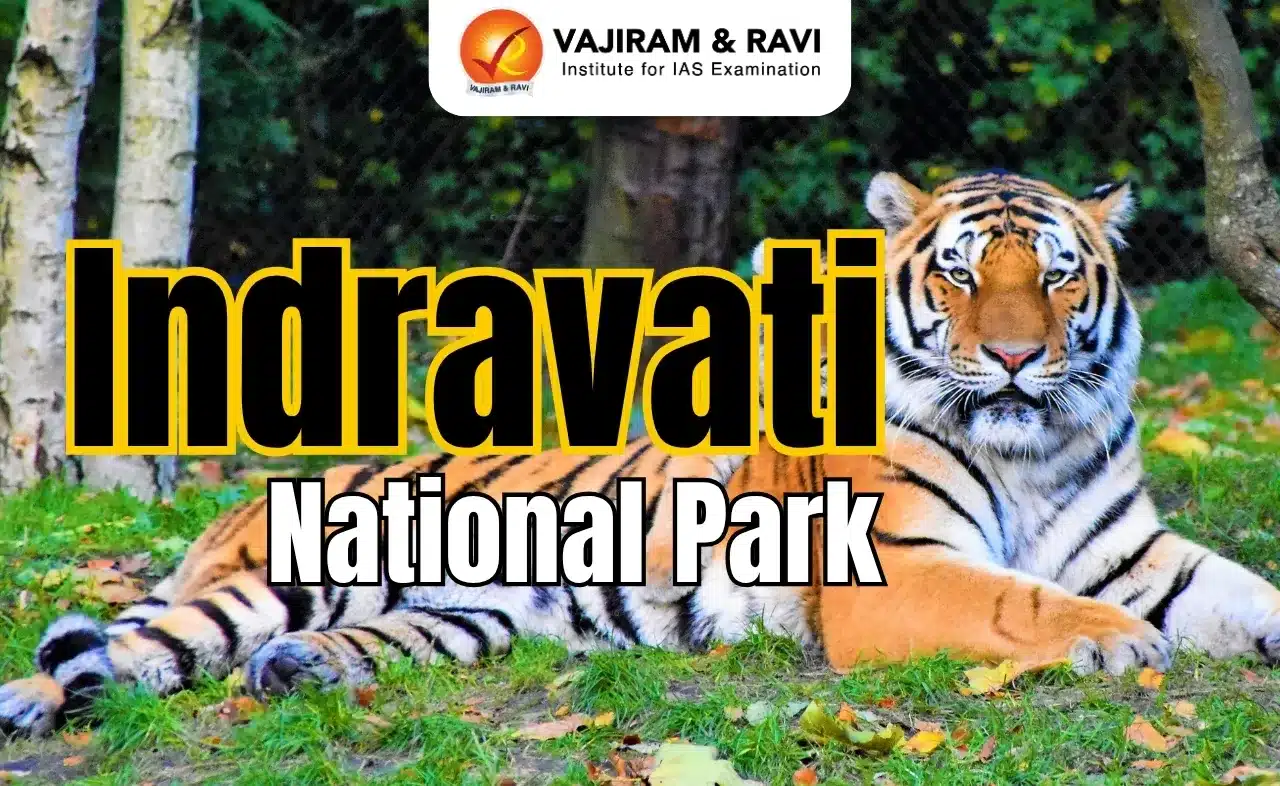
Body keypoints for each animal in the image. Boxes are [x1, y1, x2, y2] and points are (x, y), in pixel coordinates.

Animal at [3, 169, 1279, 740]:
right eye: (962, 274)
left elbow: (1245, 593)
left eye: (1055, 276)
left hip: (468, 618)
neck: (1031, 450)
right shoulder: (901, 573)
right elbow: (1023, 603)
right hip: (278, 578)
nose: (1015, 356)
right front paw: (1119, 645)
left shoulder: (1138, 553)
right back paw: (33, 705)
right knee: (131, 651)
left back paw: (297, 673)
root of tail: (250, 503)